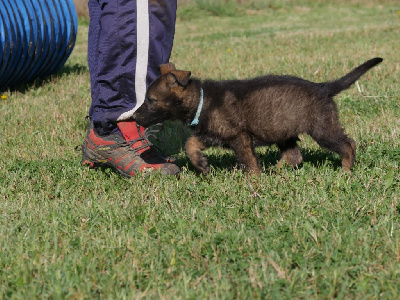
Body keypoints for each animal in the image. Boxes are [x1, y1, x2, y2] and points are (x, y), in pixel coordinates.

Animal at [135, 57, 384, 175]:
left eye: (151, 100)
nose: (134, 118)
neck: (202, 100)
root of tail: (322, 87)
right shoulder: (212, 134)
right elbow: (190, 143)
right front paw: (202, 165)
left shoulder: (239, 137)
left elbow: (249, 162)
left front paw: (253, 181)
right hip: (283, 131)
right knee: (294, 156)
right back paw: (275, 172)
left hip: (322, 128)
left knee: (347, 144)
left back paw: (346, 169)